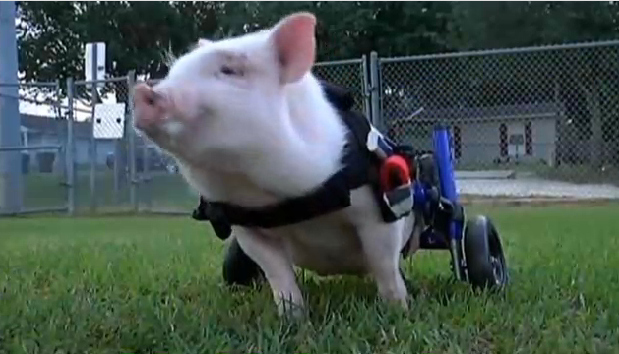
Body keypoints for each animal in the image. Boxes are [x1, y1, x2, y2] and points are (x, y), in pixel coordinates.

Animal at [131, 11, 422, 318]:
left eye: (229, 70)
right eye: (174, 71)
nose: (142, 91)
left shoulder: (378, 209)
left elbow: (385, 266)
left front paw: (399, 311)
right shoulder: (245, 227)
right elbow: (278, 275)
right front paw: (293, 319)